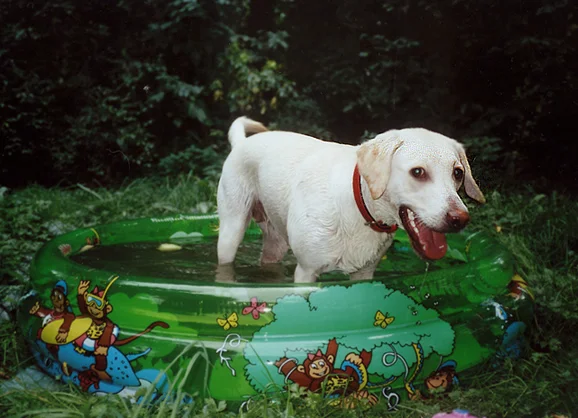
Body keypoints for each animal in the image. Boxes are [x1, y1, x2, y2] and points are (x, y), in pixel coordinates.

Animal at [215, 116, 482, 282]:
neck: (357, 206)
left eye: (458, 173)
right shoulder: (306, 272)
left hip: (276, 243)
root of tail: (241, 142)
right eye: (418, 172)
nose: (460, 219)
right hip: (231, 231)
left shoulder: (364, 274)